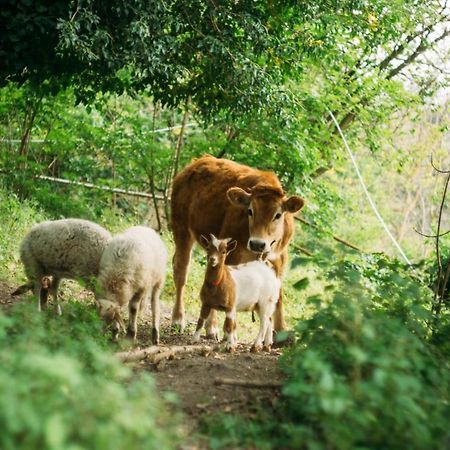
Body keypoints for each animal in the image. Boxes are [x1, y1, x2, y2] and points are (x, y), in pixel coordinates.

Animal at [171, 156, 304, 336]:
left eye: (278, 215)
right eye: (250, 211)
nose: (257, 243)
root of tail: (197, 162)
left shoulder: (279, 259)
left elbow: (278, 293)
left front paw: (281, 331)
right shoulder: (231, 255)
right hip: (182, 229)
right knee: (181, 272)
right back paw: (180, 320)